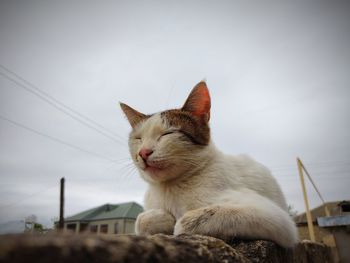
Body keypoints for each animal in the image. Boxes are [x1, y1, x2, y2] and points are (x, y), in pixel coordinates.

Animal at [119, 81, 298, 249]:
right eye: (138, 138)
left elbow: (189, 221)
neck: (168, 189)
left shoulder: (278, 219)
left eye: (167, 133)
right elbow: (141, 220)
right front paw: (162, 218)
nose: (143, 152)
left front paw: (178, 222)